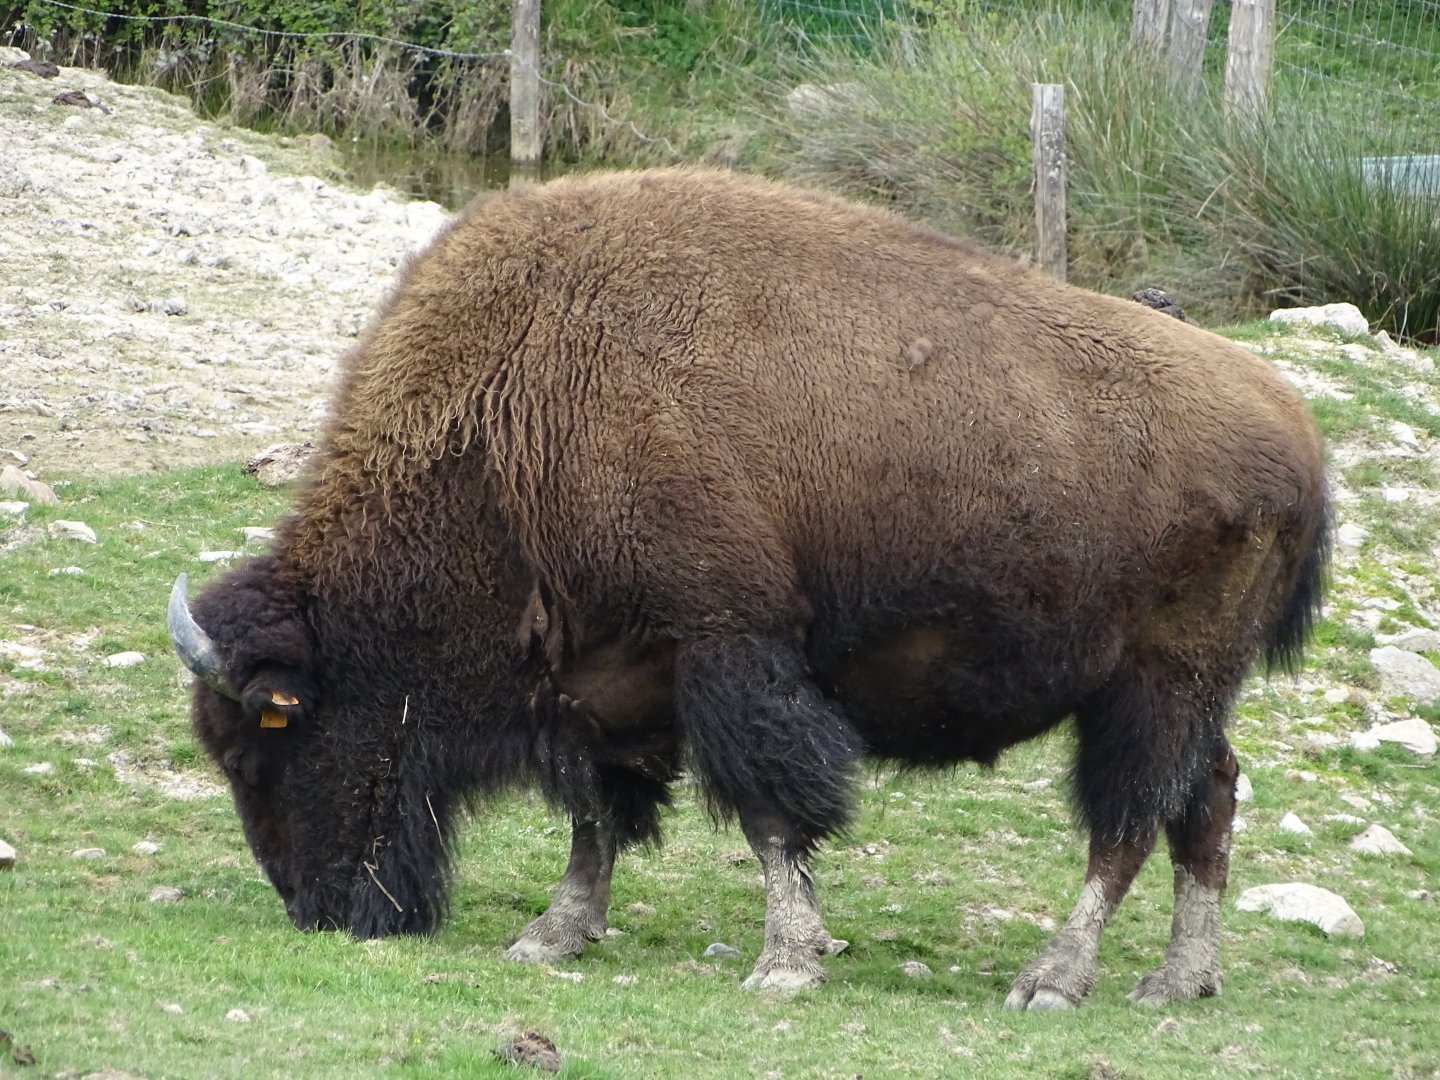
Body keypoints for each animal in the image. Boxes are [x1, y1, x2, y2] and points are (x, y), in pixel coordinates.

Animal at [170, 167, 1328, 1006]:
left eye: (270, 734)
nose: (313, 908)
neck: (517, 409)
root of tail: (1297, 431)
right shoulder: (605, 682)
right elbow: (597, 814)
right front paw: (553, 935)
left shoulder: (729, 650)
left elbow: (771, 814)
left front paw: (785, 963)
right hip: (1183, 691)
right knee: (1206, 802)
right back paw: (1179, 981)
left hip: (1154, 683)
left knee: (1129, 821)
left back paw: (1055, 980)